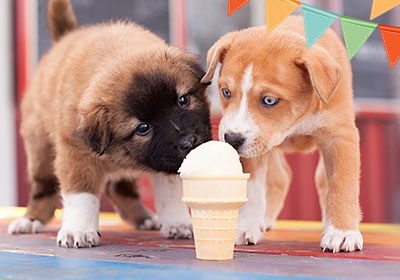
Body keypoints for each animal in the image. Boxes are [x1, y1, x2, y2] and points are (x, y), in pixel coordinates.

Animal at [7, 0, 212, 247]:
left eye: (183, 100)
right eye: (143, 128)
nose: (189, 142)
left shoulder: (167, 159)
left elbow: (170, 192)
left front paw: (177, 222)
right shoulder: (76, 155)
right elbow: (81, 195)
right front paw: (78, 230)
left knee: (119, 188)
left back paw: (143, 218)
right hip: (40, 149)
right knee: (43, 188)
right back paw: (30, 220)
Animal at [203, 14, 362, 252]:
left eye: (269, 100)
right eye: (226, 92)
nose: (231, 139)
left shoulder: (340, 136)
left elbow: (341, 183)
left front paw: (342, 232)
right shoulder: (252, 146)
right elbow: (251, 187)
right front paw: (245, 226)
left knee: (320, 180)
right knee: (280, 177)